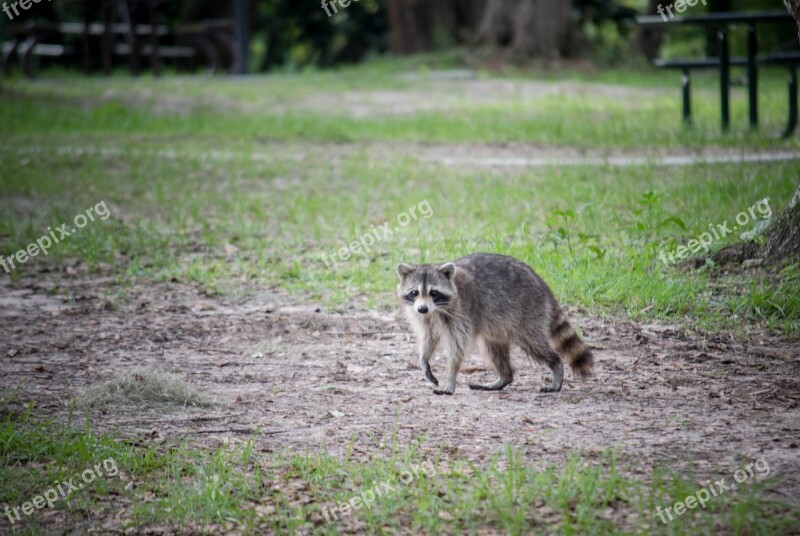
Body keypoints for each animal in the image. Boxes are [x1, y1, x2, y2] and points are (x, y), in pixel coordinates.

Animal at [396, 253, 592, 396]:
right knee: (493, 348)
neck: (436, 309)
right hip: (499, 325)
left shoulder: (461, 313)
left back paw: (556, 365)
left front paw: (450, 378)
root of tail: (542, 283)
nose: (422, 308)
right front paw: (424, 359)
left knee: (533, 343)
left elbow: (457, 348)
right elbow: (429, 338)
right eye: (414, 292)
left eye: (434, 292)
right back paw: (504, 377)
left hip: (527, 313)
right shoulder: (426, 318)